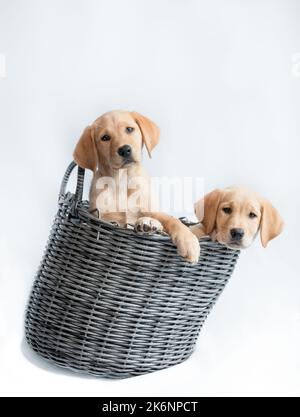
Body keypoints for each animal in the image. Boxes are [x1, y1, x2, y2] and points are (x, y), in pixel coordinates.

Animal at [73, 109, 200, 262]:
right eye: (105, 137)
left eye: (129, 129)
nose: (125, 150)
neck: (123, 179)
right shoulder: (105, 218)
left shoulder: (151, 210)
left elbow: (172, 220)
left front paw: (188, 241)